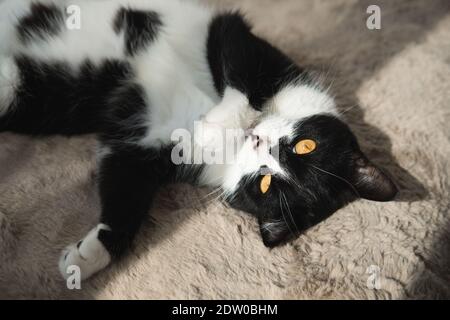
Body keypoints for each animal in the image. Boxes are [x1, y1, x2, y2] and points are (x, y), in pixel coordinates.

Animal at [0, 0, 398, 280]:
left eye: (264, 183)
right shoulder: (237, 40)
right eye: (306, 146)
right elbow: (240, 84)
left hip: (34, 95)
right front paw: (216, 124)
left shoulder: (139, 147)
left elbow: (124, 194)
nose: (260, 142)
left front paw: (88, 257)